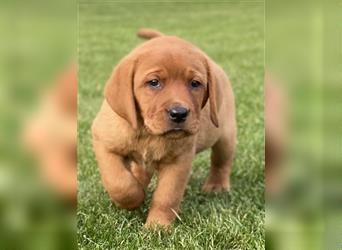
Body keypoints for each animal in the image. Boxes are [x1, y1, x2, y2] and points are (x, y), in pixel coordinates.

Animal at [91, 28, 236, 228]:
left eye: (195, 83)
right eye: (154, 82)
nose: (179, 113)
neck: (148, 132)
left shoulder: (179, 161)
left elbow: (166, 197)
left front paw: (157, 227)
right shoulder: (104, 142)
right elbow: (119, 183)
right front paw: (134, 199)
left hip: (225, 137)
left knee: (221, 162)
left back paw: (217, 186)